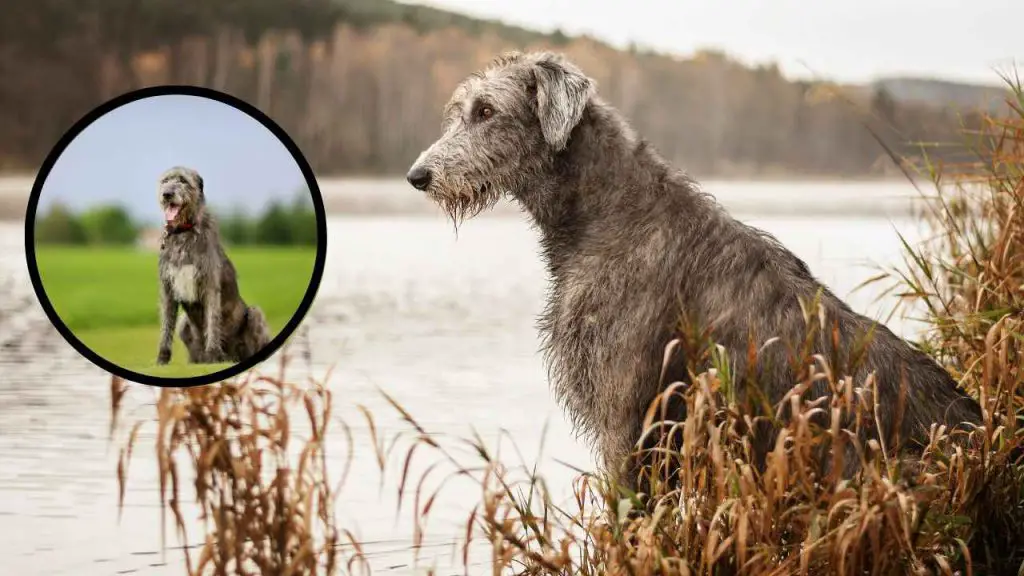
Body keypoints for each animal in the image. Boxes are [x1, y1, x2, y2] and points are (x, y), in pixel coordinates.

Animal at [153, 166, 270, 362]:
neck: (183, 232)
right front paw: (162, 359)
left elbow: (212, 320)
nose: (167, 194)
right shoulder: (167, 287)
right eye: (165, 181)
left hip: (255, 313)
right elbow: (166, 325)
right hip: (184, 324)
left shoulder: (209, 284)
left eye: (183, 181)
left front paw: (213, 353)